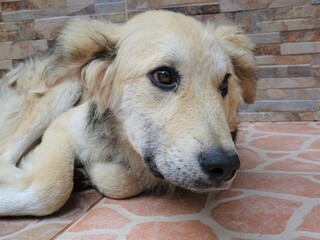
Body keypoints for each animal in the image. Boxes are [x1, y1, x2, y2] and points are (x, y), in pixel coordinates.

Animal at [0, 10, 256, 217]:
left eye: (224, 84)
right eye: (163, 76)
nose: (226, 166)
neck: (122, 143)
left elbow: (125, 181)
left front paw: (91, 171)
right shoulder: (63, 124)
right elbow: (53, 189)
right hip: (67, 86)